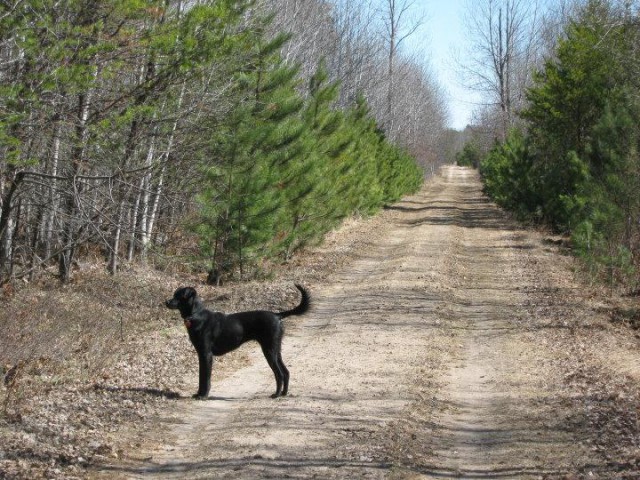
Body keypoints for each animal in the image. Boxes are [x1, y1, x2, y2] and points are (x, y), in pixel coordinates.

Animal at [165, 284, 310, 398]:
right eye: (174, 294)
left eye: (179, 296)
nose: (166, 302)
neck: (196, 315)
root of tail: (277, 315)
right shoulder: (201, 354)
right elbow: (201, 376)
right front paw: (199, 394)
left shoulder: (206, 354)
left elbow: (205, 377)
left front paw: (203, 395)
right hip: (276, 349)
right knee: (286, 372)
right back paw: (284, 393)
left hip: (269, 350)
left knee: (279, 373)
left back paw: (276, 394)